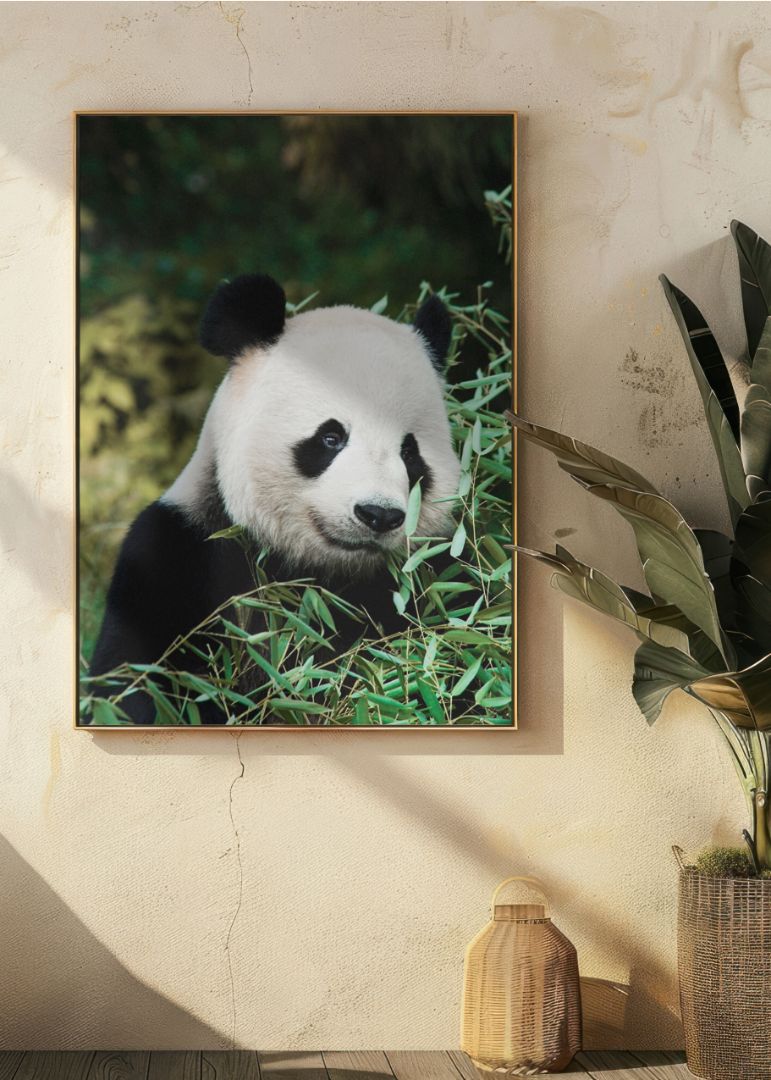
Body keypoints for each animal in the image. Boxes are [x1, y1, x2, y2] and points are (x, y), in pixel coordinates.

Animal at [88, 274, 460, 725]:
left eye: (409, 452)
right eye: (331, 438)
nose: (378, 514)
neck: (317, 574)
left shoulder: (432, 578)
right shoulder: (177, 560)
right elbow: (136, 684)